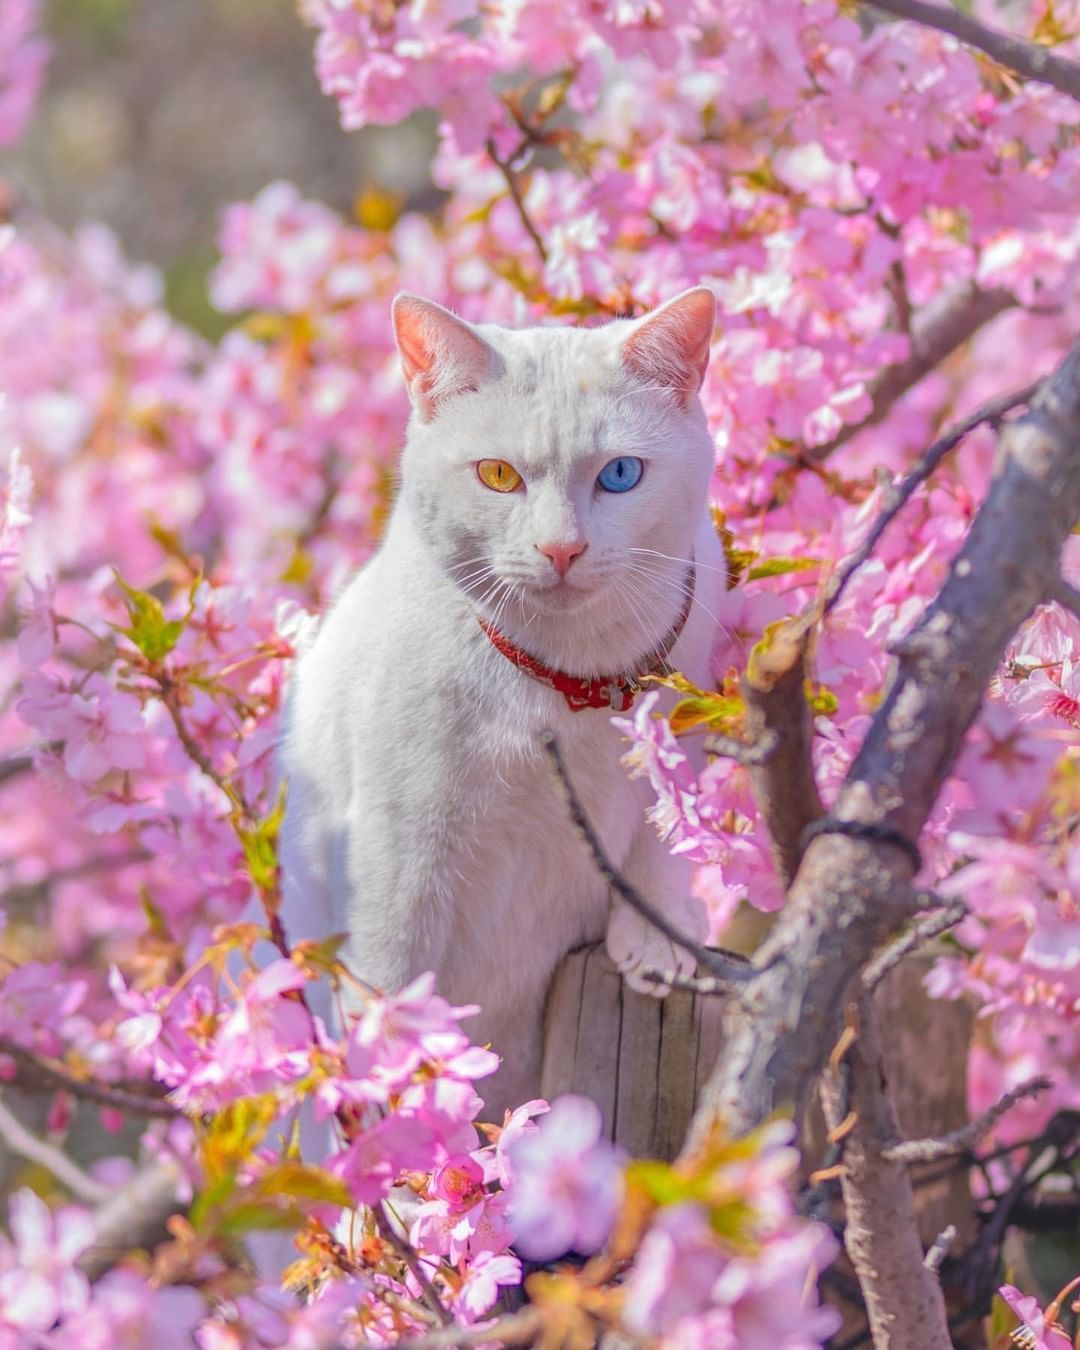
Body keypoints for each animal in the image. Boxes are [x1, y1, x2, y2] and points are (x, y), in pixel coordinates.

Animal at [278, 287, 729, 1117]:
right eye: (496, 475)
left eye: (620, 474)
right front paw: (397, 1087)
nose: (561, 549)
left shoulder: (681, 712)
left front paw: (658, 937)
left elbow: (662, 834)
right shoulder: (395, 842)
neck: (566, 677)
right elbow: (389, 969)